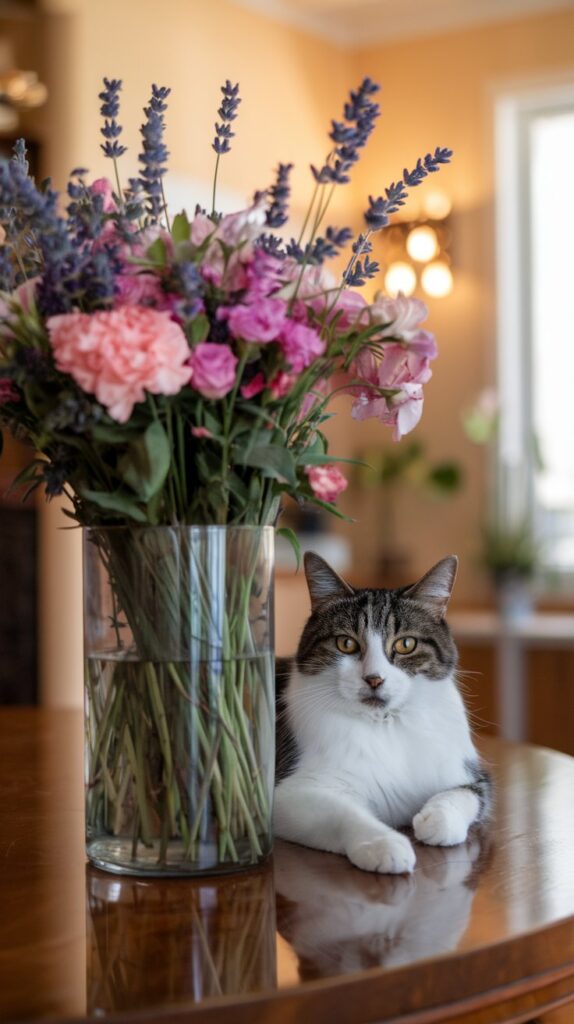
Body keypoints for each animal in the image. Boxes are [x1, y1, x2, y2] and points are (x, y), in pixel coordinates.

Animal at [276, 552, 491, 872]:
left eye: (406, 644)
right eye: (346, 643)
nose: (374, 679)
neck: (385, 724)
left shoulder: (472, 777)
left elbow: (460, 797)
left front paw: (435, 822)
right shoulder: (290, 793)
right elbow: (345, 814)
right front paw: (384, 845)